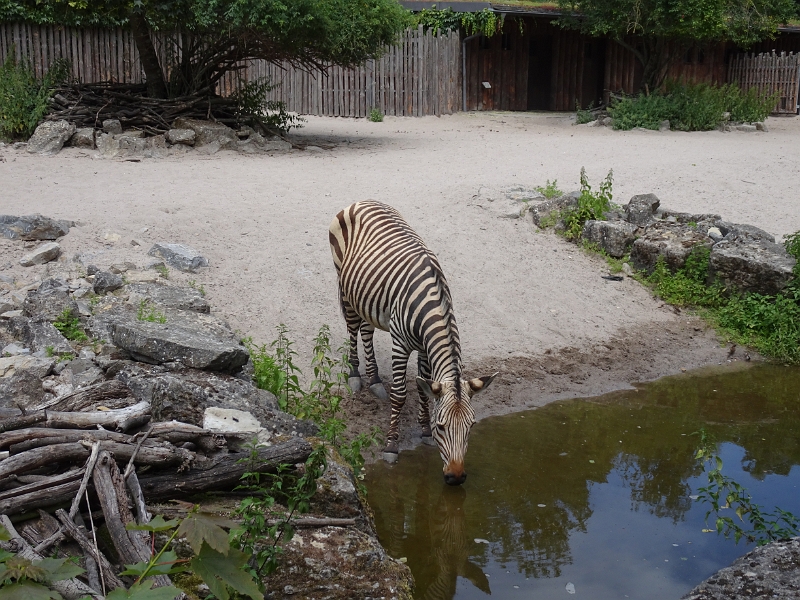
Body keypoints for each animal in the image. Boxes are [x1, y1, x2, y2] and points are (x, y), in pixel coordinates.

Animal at [326, 199, 494, 486]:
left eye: (471, 426)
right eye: (442, 426)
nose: (456, 478)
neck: (433, 305)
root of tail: (362, 201)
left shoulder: (426, 349)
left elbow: (424, 390)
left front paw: (424, 431)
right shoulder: (401, 344)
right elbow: (401, 394)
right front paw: (391, 446)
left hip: (367, 298)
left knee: (367, 330)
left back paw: (374, 380)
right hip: (344, 284)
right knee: (352, 328)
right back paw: (355, 375)